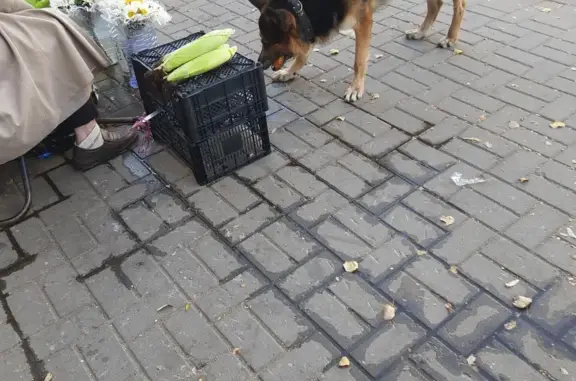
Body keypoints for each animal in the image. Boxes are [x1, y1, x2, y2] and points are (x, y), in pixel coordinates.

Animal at [250, 0, 466, 101]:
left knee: (460, 6)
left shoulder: (363, 22)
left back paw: (451, 37)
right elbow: (303, 54)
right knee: (435, 4)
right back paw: (421, 32)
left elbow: (359, 61)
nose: (258, 64)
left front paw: (355, 88)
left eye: (265, 41)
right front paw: (289, 72)